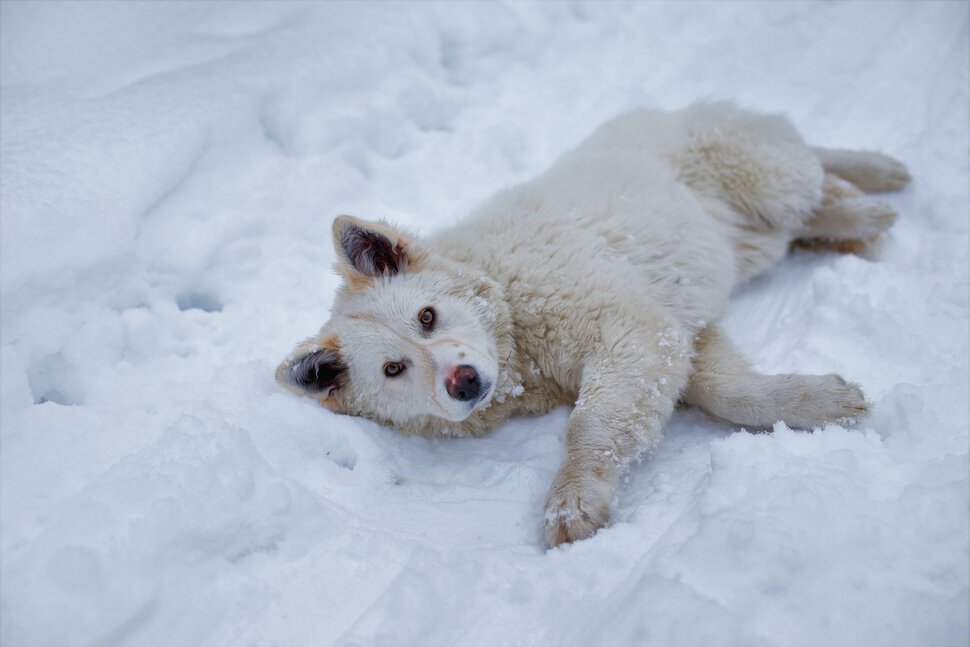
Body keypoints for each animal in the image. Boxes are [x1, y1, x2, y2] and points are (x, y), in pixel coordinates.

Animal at [274, 101, 908, 548]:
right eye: (394, 369)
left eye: (427, 317)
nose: (463, 383)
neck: (513, 320)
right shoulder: (676, 333)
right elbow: (730, 391)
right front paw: (818, 402)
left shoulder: (630, 328)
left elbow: (591, 425)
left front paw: (572, 499)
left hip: (761, 176)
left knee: (812, 169)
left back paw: (870, 189)